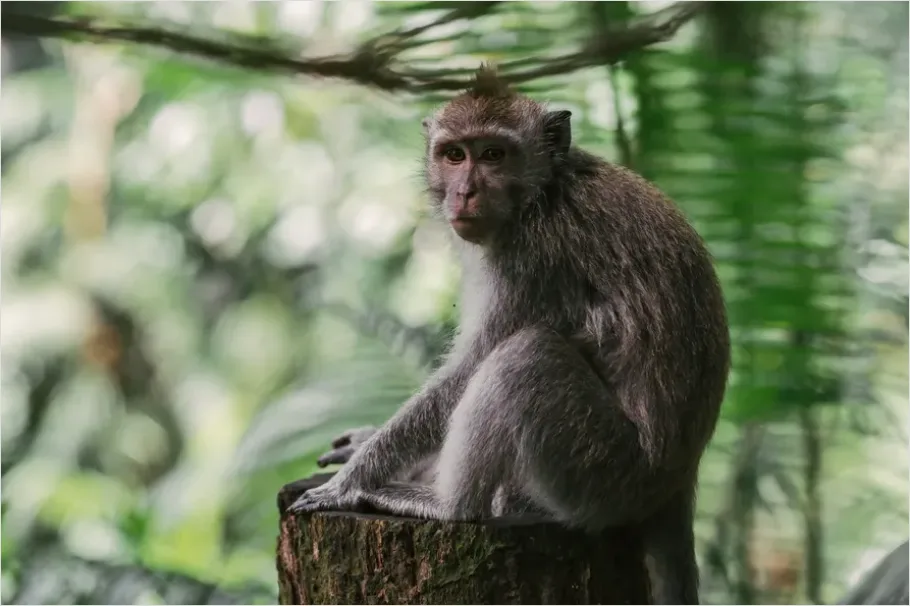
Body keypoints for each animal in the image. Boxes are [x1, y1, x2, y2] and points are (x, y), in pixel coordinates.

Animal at [289, 64, 731, 605]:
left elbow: (470, 369)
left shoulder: (534, 259)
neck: (544, 192)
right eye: (454, 155)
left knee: (524, 356)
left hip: (606, 473)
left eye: (494, 155)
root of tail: (678, 479)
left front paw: (351, 481)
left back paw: (451, 506)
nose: (465, 192)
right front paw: (362, 447)